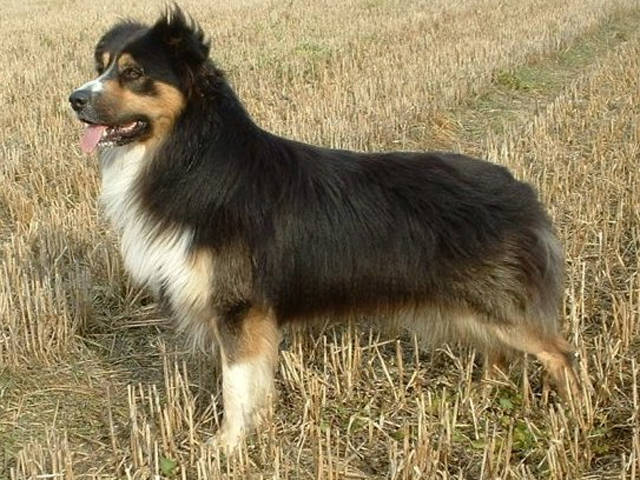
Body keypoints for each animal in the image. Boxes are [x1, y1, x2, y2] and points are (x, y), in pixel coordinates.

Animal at [69, 7, 579, 449]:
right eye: (102, 66)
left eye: (133, 73)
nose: (74, 99)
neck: (191, 154)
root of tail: (520, 188)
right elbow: (255, 380)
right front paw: (258, 427)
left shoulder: (238, 306)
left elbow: (236, 384)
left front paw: (226, 446)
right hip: (473, 303)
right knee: (498, 352)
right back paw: (483, 396)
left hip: (497, 302)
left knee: (559, 352)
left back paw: (576, 412)